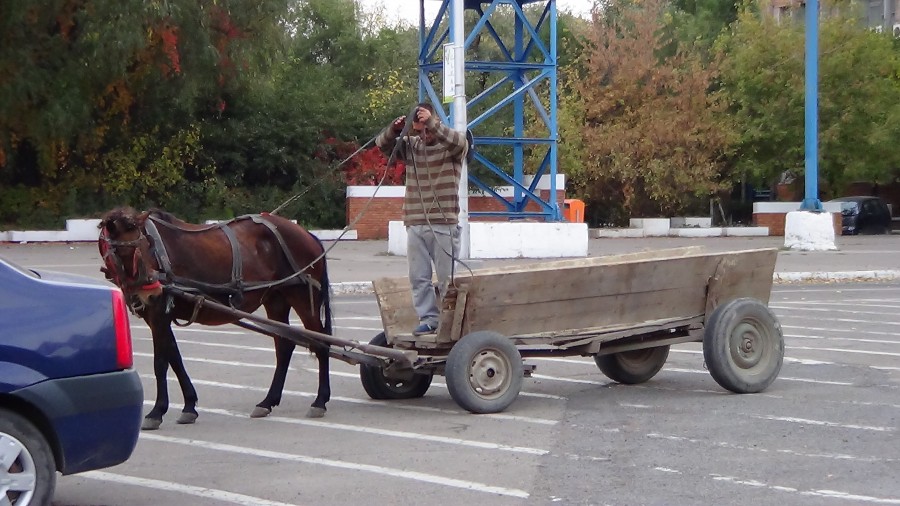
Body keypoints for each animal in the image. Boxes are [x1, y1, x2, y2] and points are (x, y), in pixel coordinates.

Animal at [98, 208, 336, 428]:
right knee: (285, 346)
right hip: (276, 300)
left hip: (302, 296)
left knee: (321, 342)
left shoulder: (159, 315)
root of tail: (307, 234)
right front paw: (189, 406)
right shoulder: (157, 317)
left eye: (146, 246)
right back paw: (268, 401)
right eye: (122, 251)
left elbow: (161, 363)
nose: (152, 292)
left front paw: (157, 412)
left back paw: (320, 401)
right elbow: (174, 357)